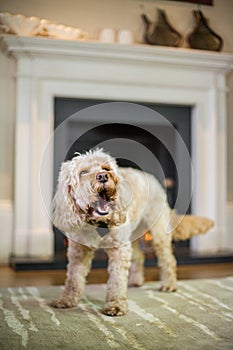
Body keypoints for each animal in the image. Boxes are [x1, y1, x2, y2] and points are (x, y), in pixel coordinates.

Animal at [52, 149, 213, 316]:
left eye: (105, 168)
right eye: (83, 172)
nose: (103, 176)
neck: (97, 224)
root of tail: (153, 179)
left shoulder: (119, 249)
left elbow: (116, 280)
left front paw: (116, 305)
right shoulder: (78, 252)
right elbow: (73, 278)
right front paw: (66, 300)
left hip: (158, 232)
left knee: (168, 259)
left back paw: (169, 284)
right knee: (139, 256)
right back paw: (136, 280)